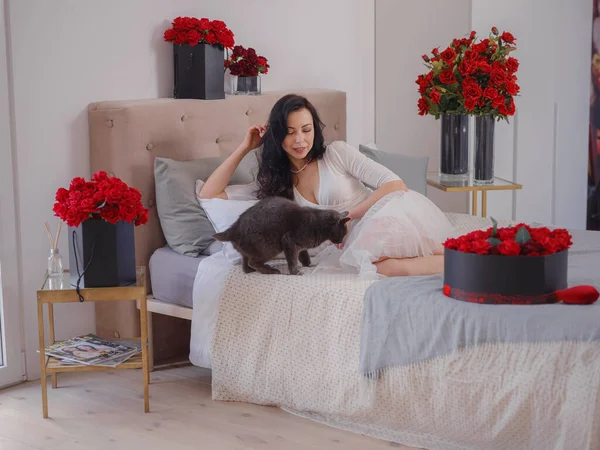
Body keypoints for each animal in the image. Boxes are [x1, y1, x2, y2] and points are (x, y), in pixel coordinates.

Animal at [212, 197, 350, 274]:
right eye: (343, 233)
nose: (340, 241)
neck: (319, 224)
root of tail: (234, 228)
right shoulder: (290, 241)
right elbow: (293, 259)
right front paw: (295, 272)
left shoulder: (301, 247)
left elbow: (304, 257)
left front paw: (309, 265)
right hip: (270, 247)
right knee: (253, 261)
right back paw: (271, 270)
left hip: (248, 249)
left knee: (245, 264)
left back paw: (252, 271)